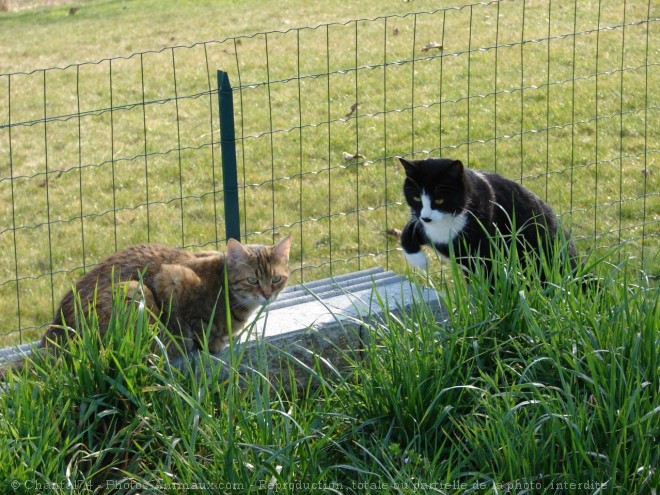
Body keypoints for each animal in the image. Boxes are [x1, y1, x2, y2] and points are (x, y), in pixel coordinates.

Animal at [398, 158, 576, 280]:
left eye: (439, 200)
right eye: (416, 198)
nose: (426, 218)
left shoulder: (485, 253)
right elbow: (407, 231)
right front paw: (419, 260)